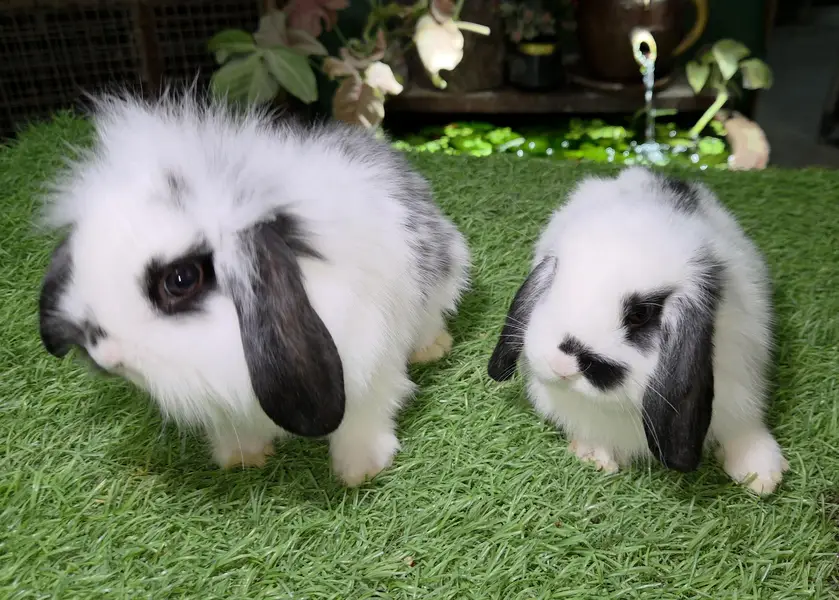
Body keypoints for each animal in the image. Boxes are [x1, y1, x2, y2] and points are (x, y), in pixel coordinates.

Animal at [36, 91, 470, 487]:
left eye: (181, 280)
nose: (108, 357)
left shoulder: (372, 369)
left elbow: (365, 418)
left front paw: (360, 470)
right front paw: (241, 458)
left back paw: (432, 348)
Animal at [487, 166, 788, 496]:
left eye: (640, 314)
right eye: (553, 285)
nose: (562, 365)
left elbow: (742, 428)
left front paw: (761, 474)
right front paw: (596, 456)